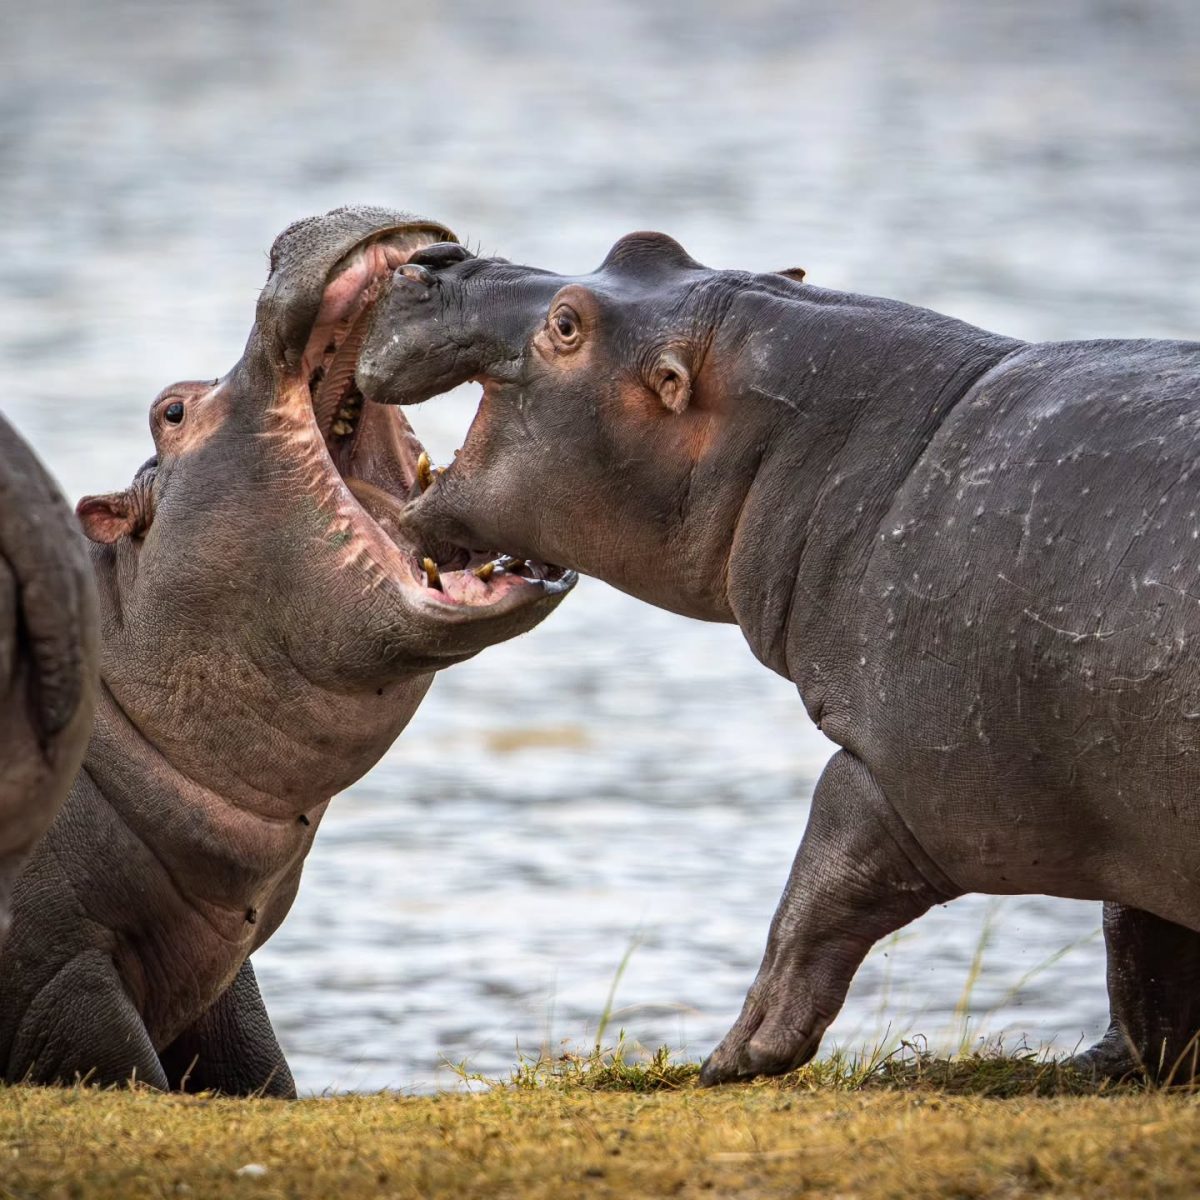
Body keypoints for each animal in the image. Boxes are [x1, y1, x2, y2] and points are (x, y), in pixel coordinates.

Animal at [352, 232, 1200, 1084]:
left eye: (567, 323)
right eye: (644, 245)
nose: (438, 256)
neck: (882, 449)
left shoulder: (914, 783)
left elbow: (816, 889)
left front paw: (734, 1057)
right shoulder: (1127, 816)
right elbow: (1140, 945)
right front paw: (1112, 1067)